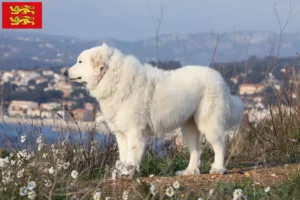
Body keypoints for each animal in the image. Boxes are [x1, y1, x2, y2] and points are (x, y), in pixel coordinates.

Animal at [63, 43, 244, 177]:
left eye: (80, 62)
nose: (64, 72)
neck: (113, 77)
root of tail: (220, 79)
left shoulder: (135, 131)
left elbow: (131, 155)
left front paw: (128, 173)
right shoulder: (121, 133)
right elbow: (123, 155)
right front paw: (121, 172)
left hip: (208, 123)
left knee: (219, 145)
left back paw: (218, 168)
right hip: (189, 127)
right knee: (196, 150)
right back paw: (189, 171)